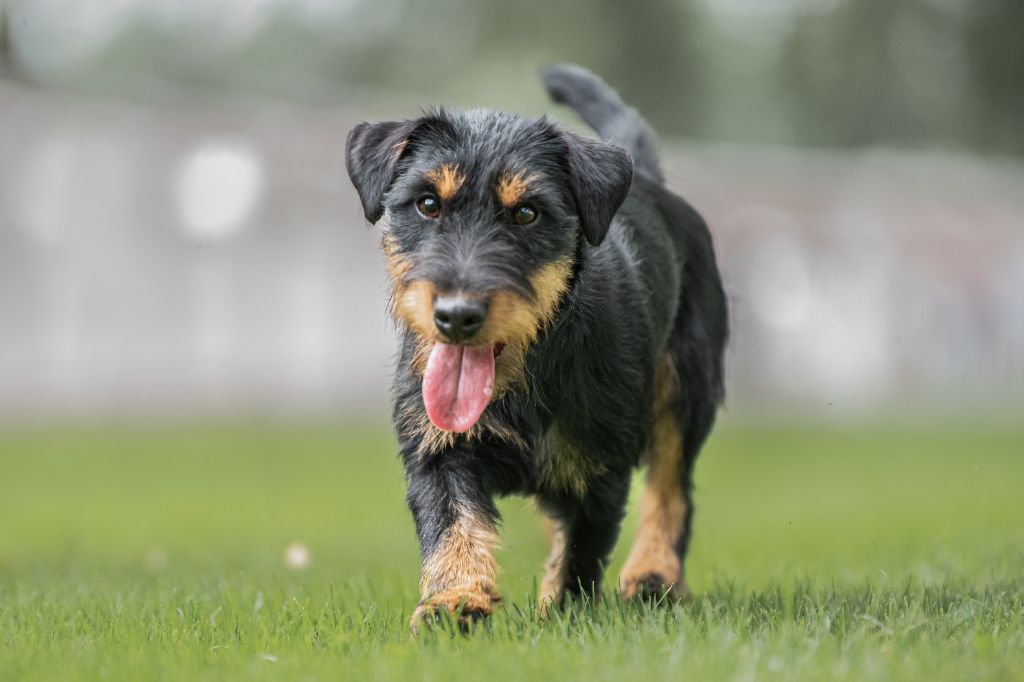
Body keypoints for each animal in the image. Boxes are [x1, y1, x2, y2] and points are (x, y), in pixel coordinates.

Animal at [344, 63, 729, 626]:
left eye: (527, 213)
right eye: (428, 204)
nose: (457, 315)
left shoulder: (600, 468)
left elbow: (582, 550)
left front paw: (563, 614)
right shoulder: (439, 449)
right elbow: (453, 524)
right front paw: (454, 602)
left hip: (687, 388)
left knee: (670, 487)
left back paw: (654, 575)